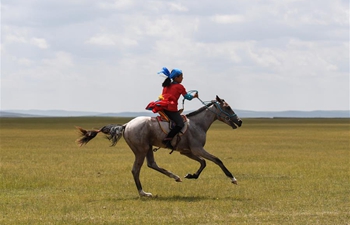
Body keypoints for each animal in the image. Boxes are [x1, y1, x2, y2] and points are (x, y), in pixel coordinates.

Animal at [76, 95, 242, 197]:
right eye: (227, 107)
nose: (240, 121)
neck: (198, 124)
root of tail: (126, 125)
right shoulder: (197, 149)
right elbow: (216, 160)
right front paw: (233, 178)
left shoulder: (187, 151)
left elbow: (203, 162)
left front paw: (191, 175)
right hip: (141, 150)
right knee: (136, 170)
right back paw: (144, 193)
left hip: (148, 148)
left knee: (152, 164)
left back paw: (175, 177)